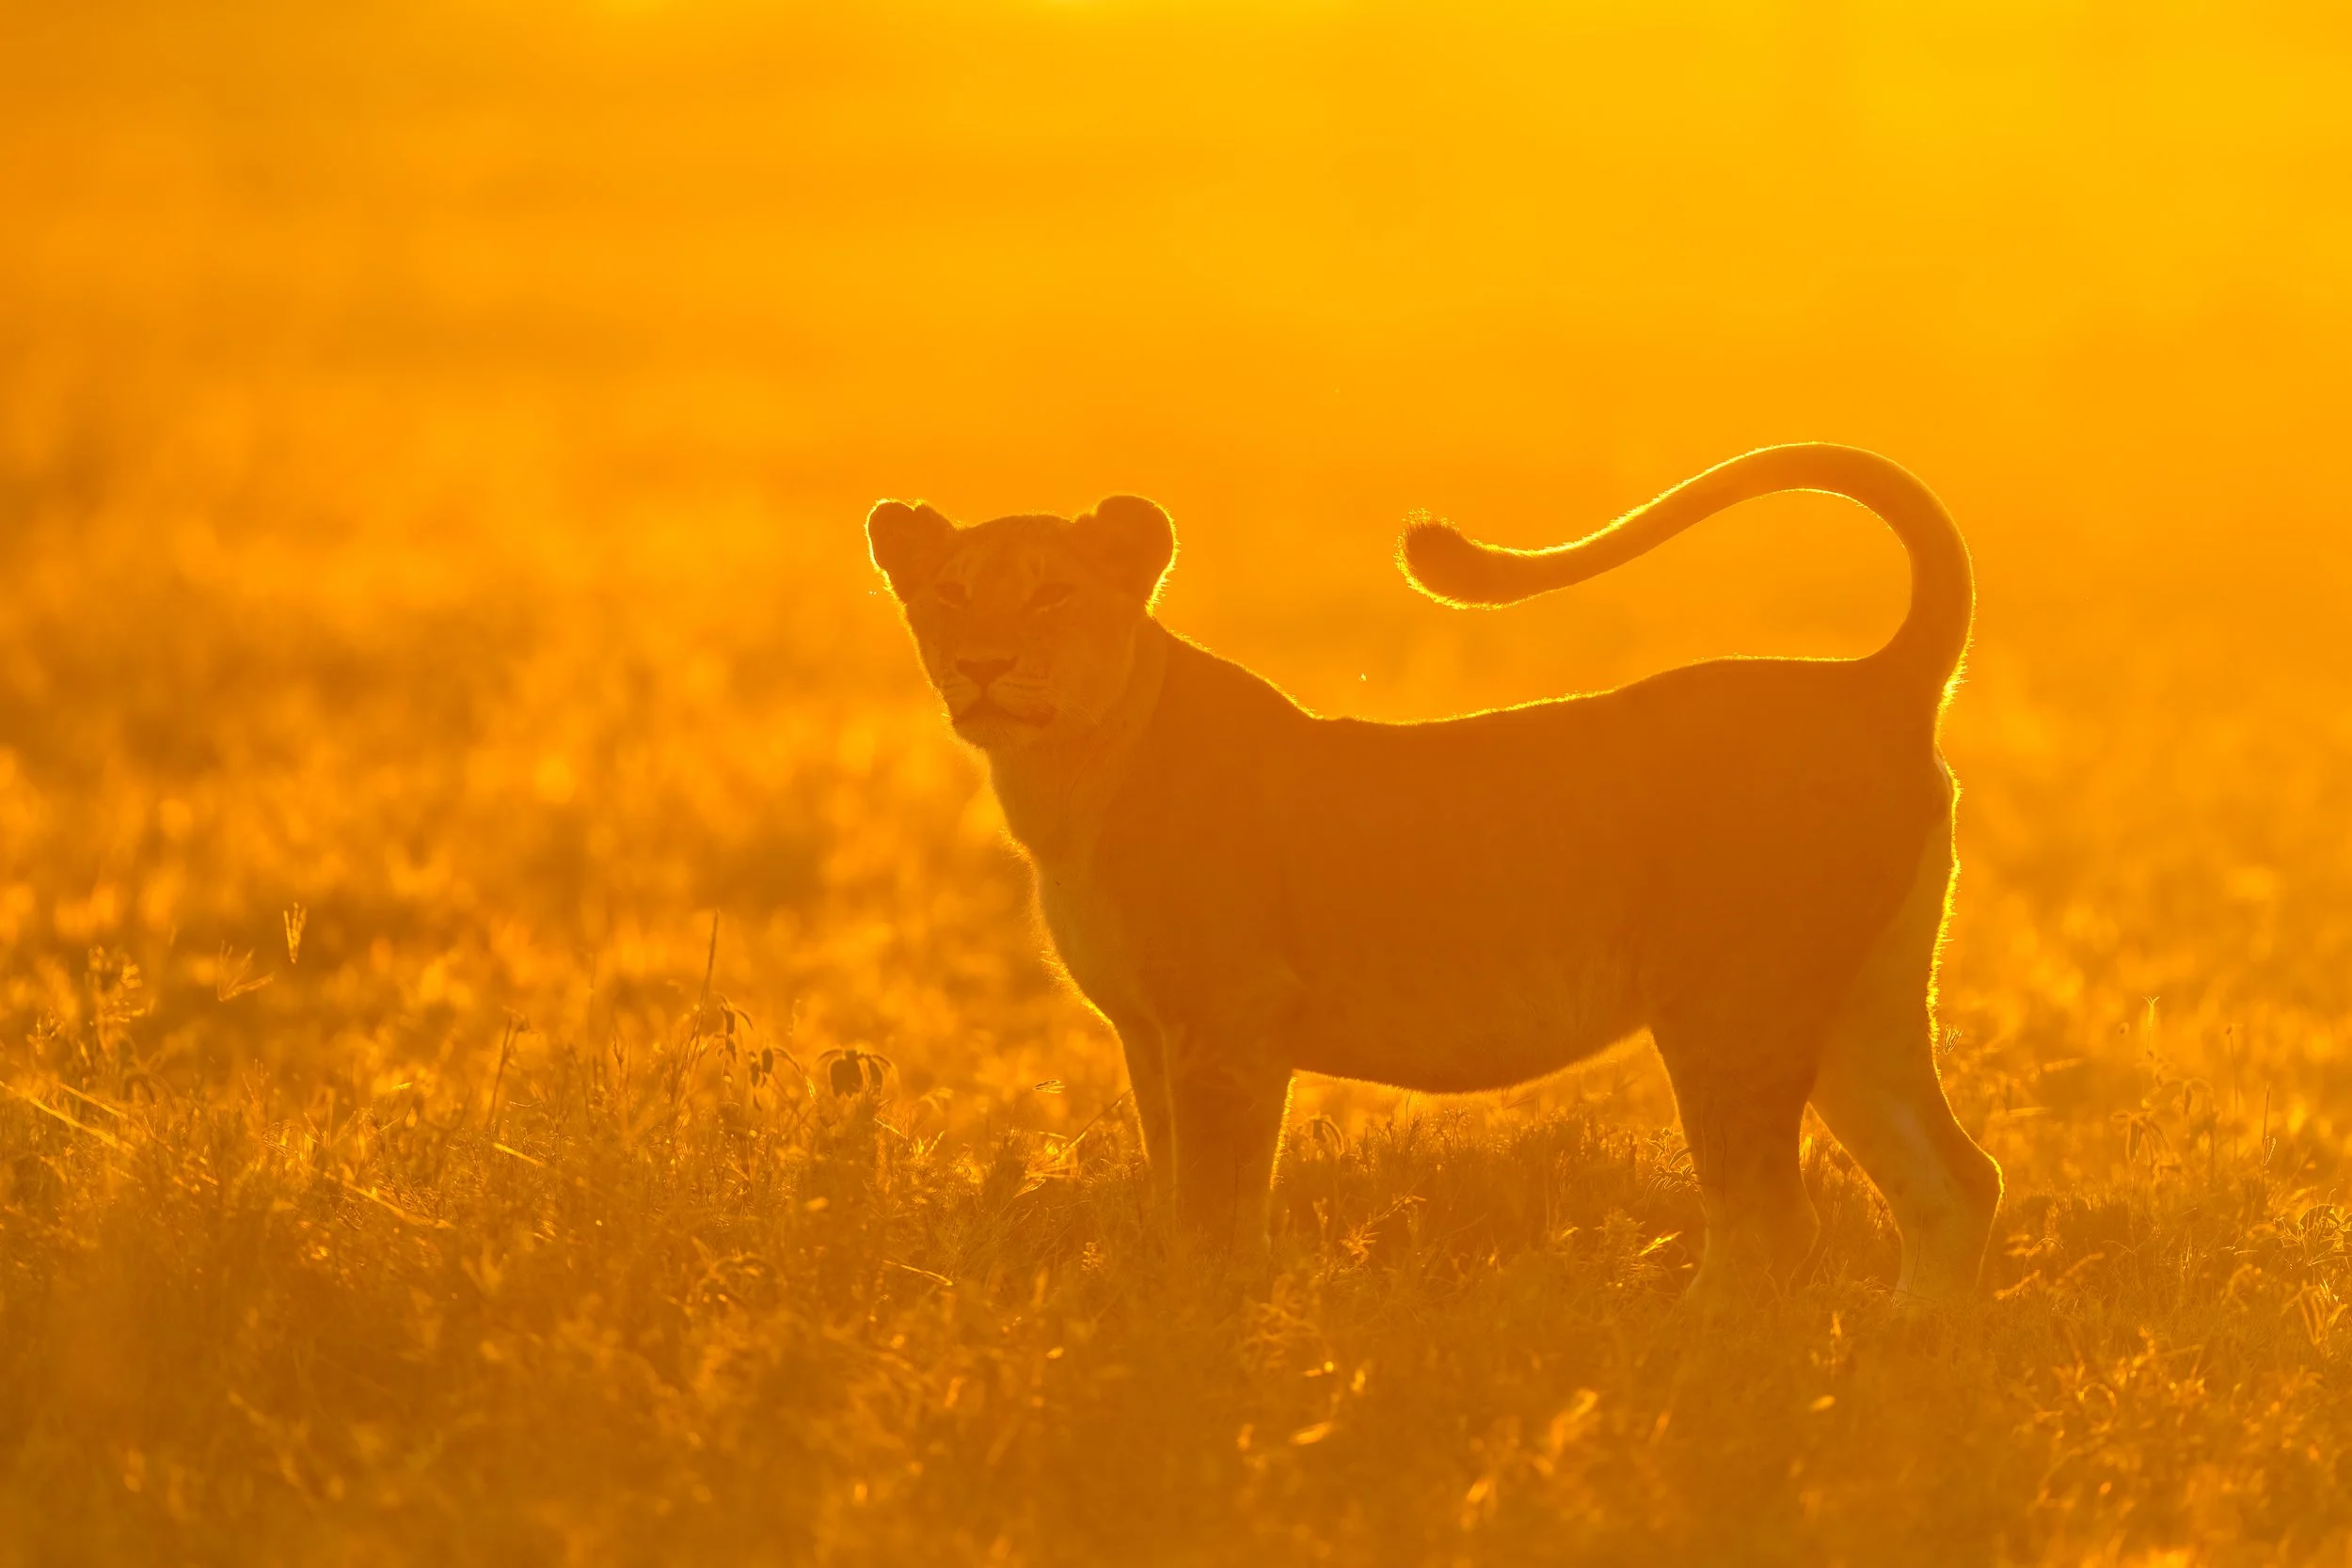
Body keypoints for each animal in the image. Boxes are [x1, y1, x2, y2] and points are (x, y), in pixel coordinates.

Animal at [867, 443, 2002, 1306]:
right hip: (1860, 1005)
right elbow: (1187, 1196)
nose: (980, 665)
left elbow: (1212, 1214)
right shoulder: (1151, 1037)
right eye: (949, 595)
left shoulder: (1228, 1026)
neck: (1069, 777)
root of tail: (1881, 679)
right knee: (1954, 1181)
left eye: (1052, 593)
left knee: (1773, 1223)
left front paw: (1199, 1340)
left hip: (1731, 1005)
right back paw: (1903, 1365)